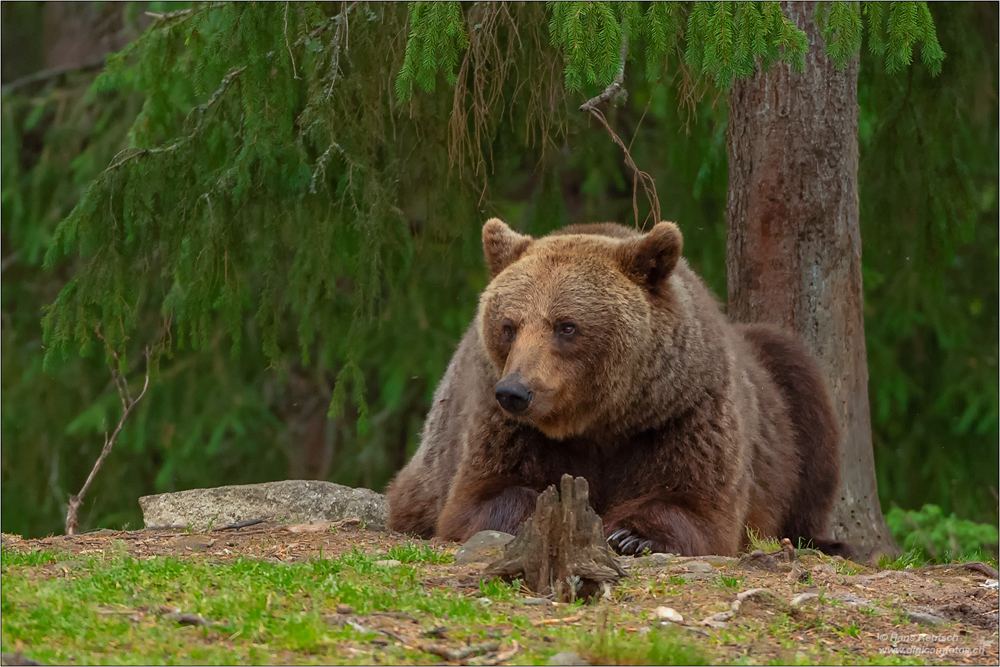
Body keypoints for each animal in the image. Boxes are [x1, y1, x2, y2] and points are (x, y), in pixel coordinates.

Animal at [386, 219, 848, 560]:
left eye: (566, 326)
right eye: (508, 325)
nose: (516, 391)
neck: (601, 420)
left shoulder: (682, 411)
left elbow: (696, 504)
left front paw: (631, 534)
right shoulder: (497, 421)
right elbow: (481, 497)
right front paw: (537, 516)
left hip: (779, 390)